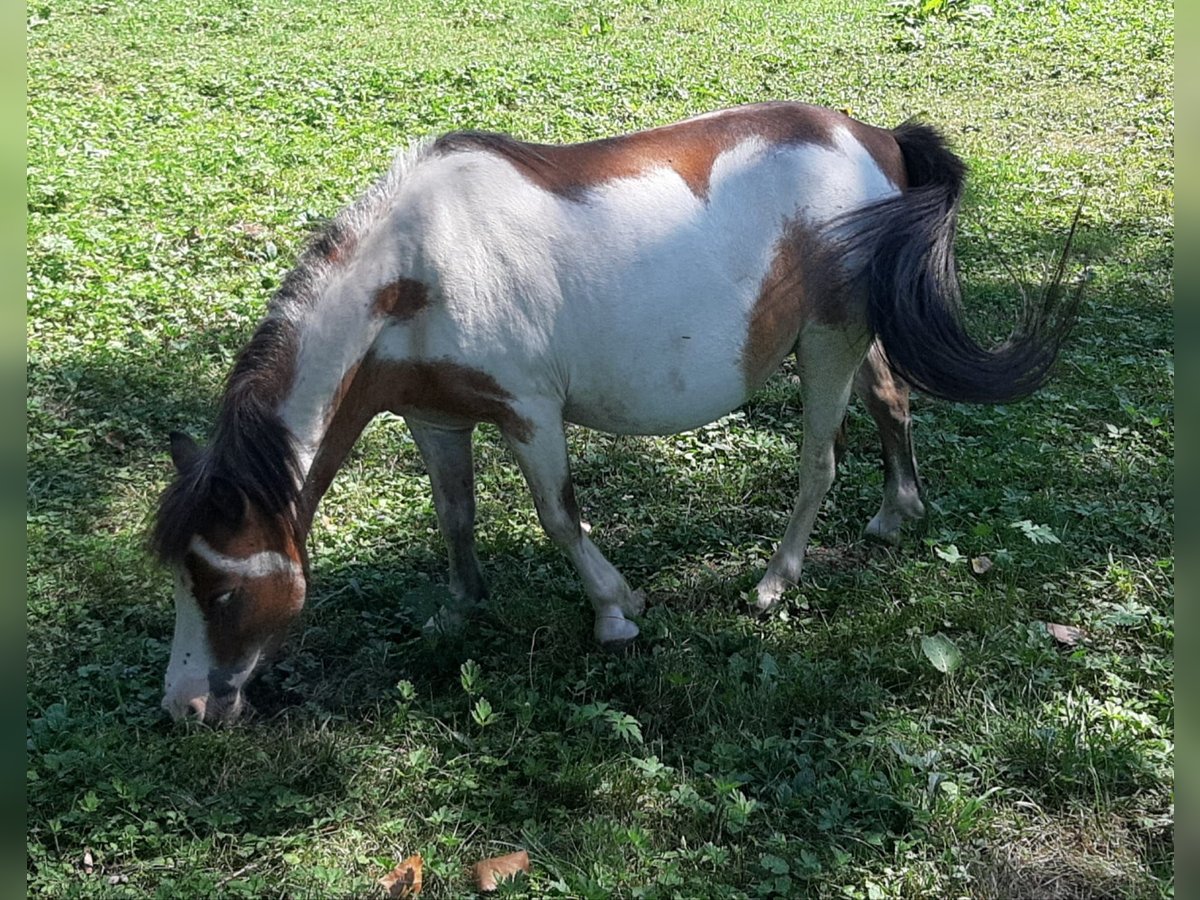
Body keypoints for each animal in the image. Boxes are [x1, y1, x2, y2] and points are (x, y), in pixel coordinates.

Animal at [150, 102, 1080, 724]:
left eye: (221, 588)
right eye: (181, 578)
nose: (185, 708)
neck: (416, 272)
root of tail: (878, 140)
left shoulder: (530, 413)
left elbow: (560, 518)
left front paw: (615, 610)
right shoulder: (435, 419)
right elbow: (456, 514)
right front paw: (461, 605)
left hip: (826, 345)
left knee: (820, 461)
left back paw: (776, 580)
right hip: (854, 339)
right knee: (892, 400)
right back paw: (896, 513)